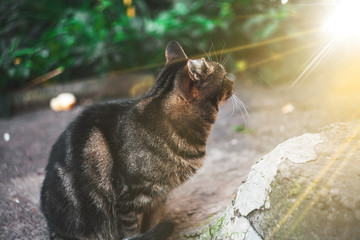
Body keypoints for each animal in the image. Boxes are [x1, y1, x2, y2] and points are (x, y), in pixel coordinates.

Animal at [40, 40, 235, 239]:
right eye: (224, 76)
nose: (232, 81)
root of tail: (53, 228)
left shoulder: (158, 197)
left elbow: (152, 222)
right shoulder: (130, 198)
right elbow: (131, 231)